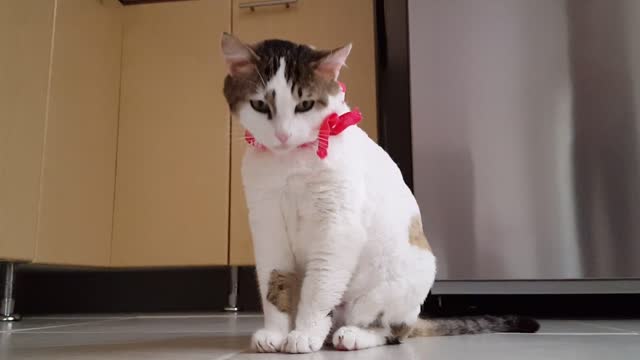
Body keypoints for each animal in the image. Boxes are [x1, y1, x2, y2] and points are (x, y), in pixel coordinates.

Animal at [221, 32, 540, 352]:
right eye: (260, 105)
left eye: (305, 105)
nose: (283, 135)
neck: (291, 164)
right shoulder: (268, 225)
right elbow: (275, 283)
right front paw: (275, 333)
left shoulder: (337, 227)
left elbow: (319, 286)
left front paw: (305, 334)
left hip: (396, 285)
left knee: (393, 331)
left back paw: (352, 335)